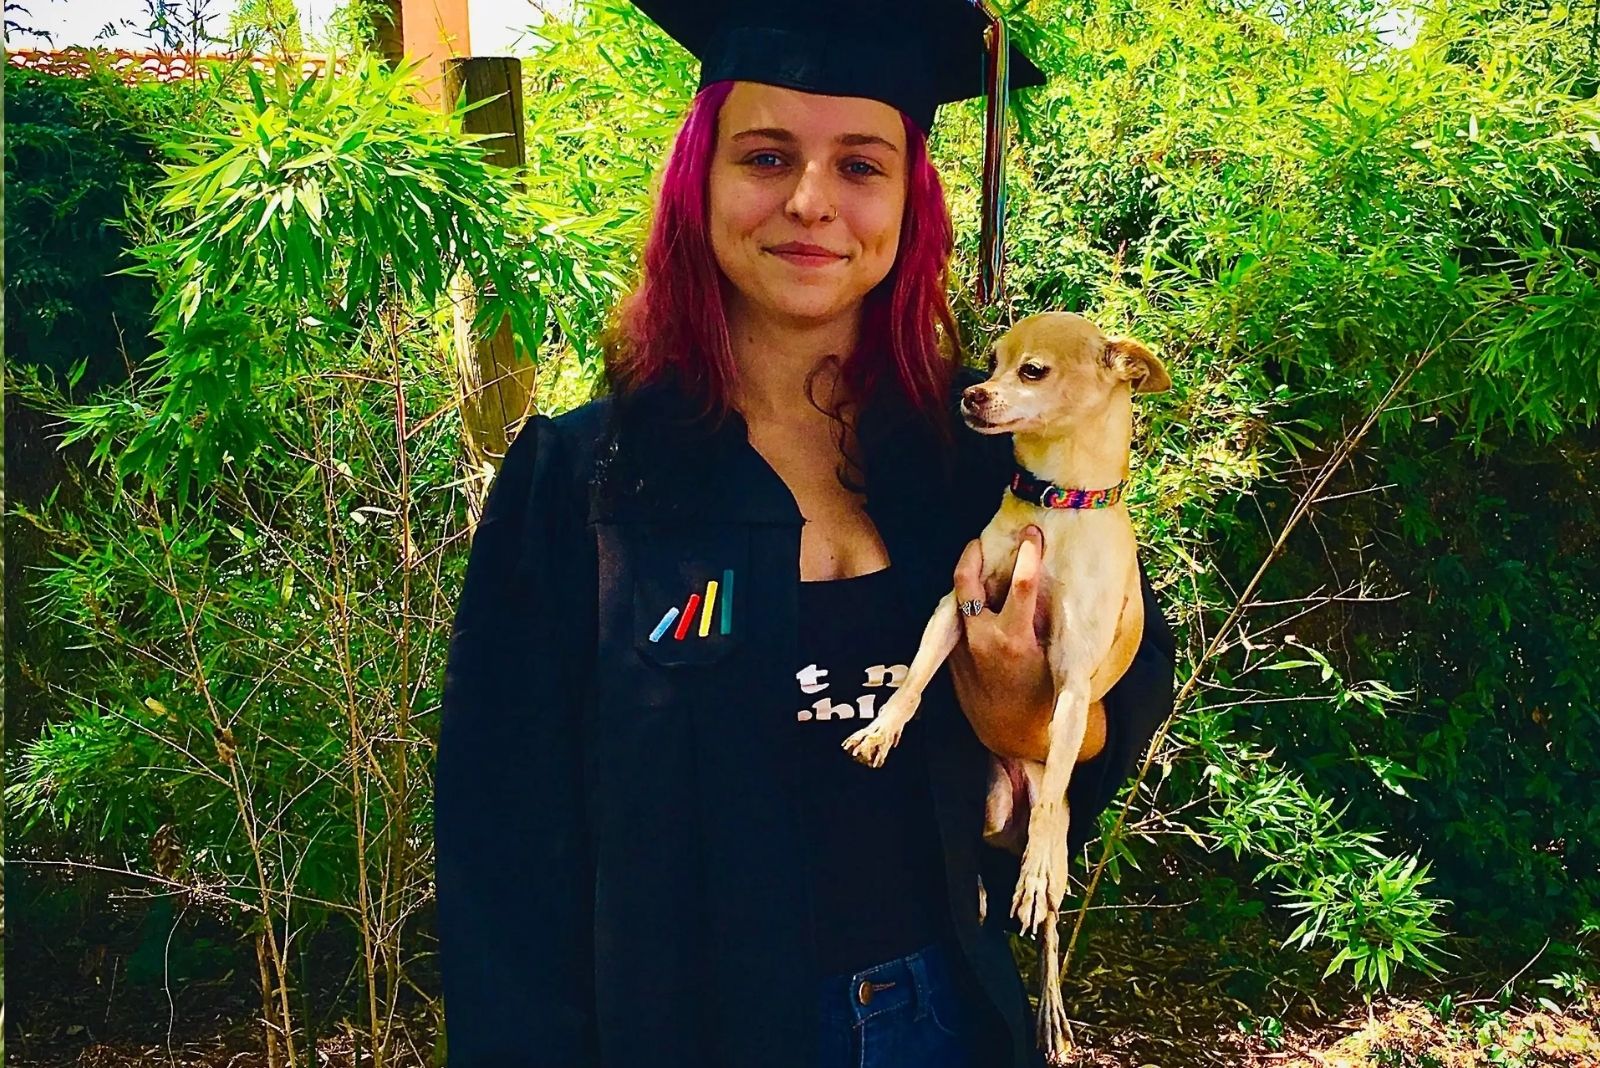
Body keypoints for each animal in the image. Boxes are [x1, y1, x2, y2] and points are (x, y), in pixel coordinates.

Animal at [844, 308, 1171, 1061]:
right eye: (990, 362)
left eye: (1033, 371)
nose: (971, 395)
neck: (1057, 507)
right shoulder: (955, 607)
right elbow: (916, 674)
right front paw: (882, 729)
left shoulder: (1072, 682)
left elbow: (1051, 803)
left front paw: (1039, 863)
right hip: (990, 808)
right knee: (983, 854)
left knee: (1046, 907)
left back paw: (1050, 999)